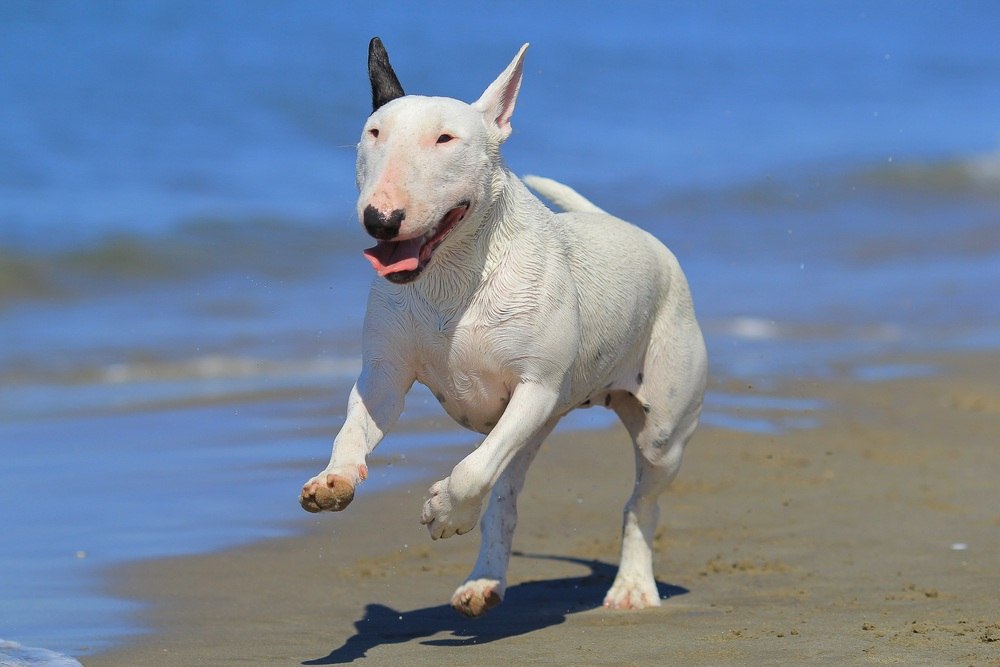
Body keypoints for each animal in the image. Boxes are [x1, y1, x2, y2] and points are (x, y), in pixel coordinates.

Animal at [300, 36, 708, 620]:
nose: (380, 219)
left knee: (639, 504)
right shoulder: (384, 374)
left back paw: (632, 586)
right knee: (505, 496)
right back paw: (484, 581)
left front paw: (444, 513)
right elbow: (356, 425)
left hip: (660, 431)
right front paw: (334, 479)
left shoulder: (536, 387)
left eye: (446, 138)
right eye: (374, 133)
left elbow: (471, 472)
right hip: (532, 430)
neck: (452, 276)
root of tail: (636, 233)